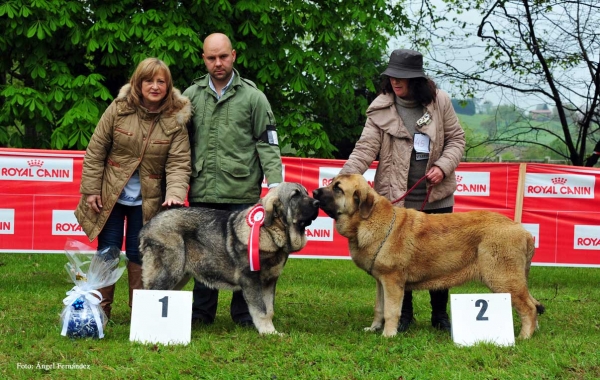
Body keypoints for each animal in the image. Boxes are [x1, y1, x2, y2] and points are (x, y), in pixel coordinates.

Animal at [139, 183, 322, 334]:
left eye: (306, 193)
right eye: (295, 196)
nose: (317, 203)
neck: (268, 230)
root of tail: (147, 226)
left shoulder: (270, 281)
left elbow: (269, 310)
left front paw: (271, 331)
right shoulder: (251, 280)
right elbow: (261, 310)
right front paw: (268, 332)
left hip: (180, 275)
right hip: (169, 272)